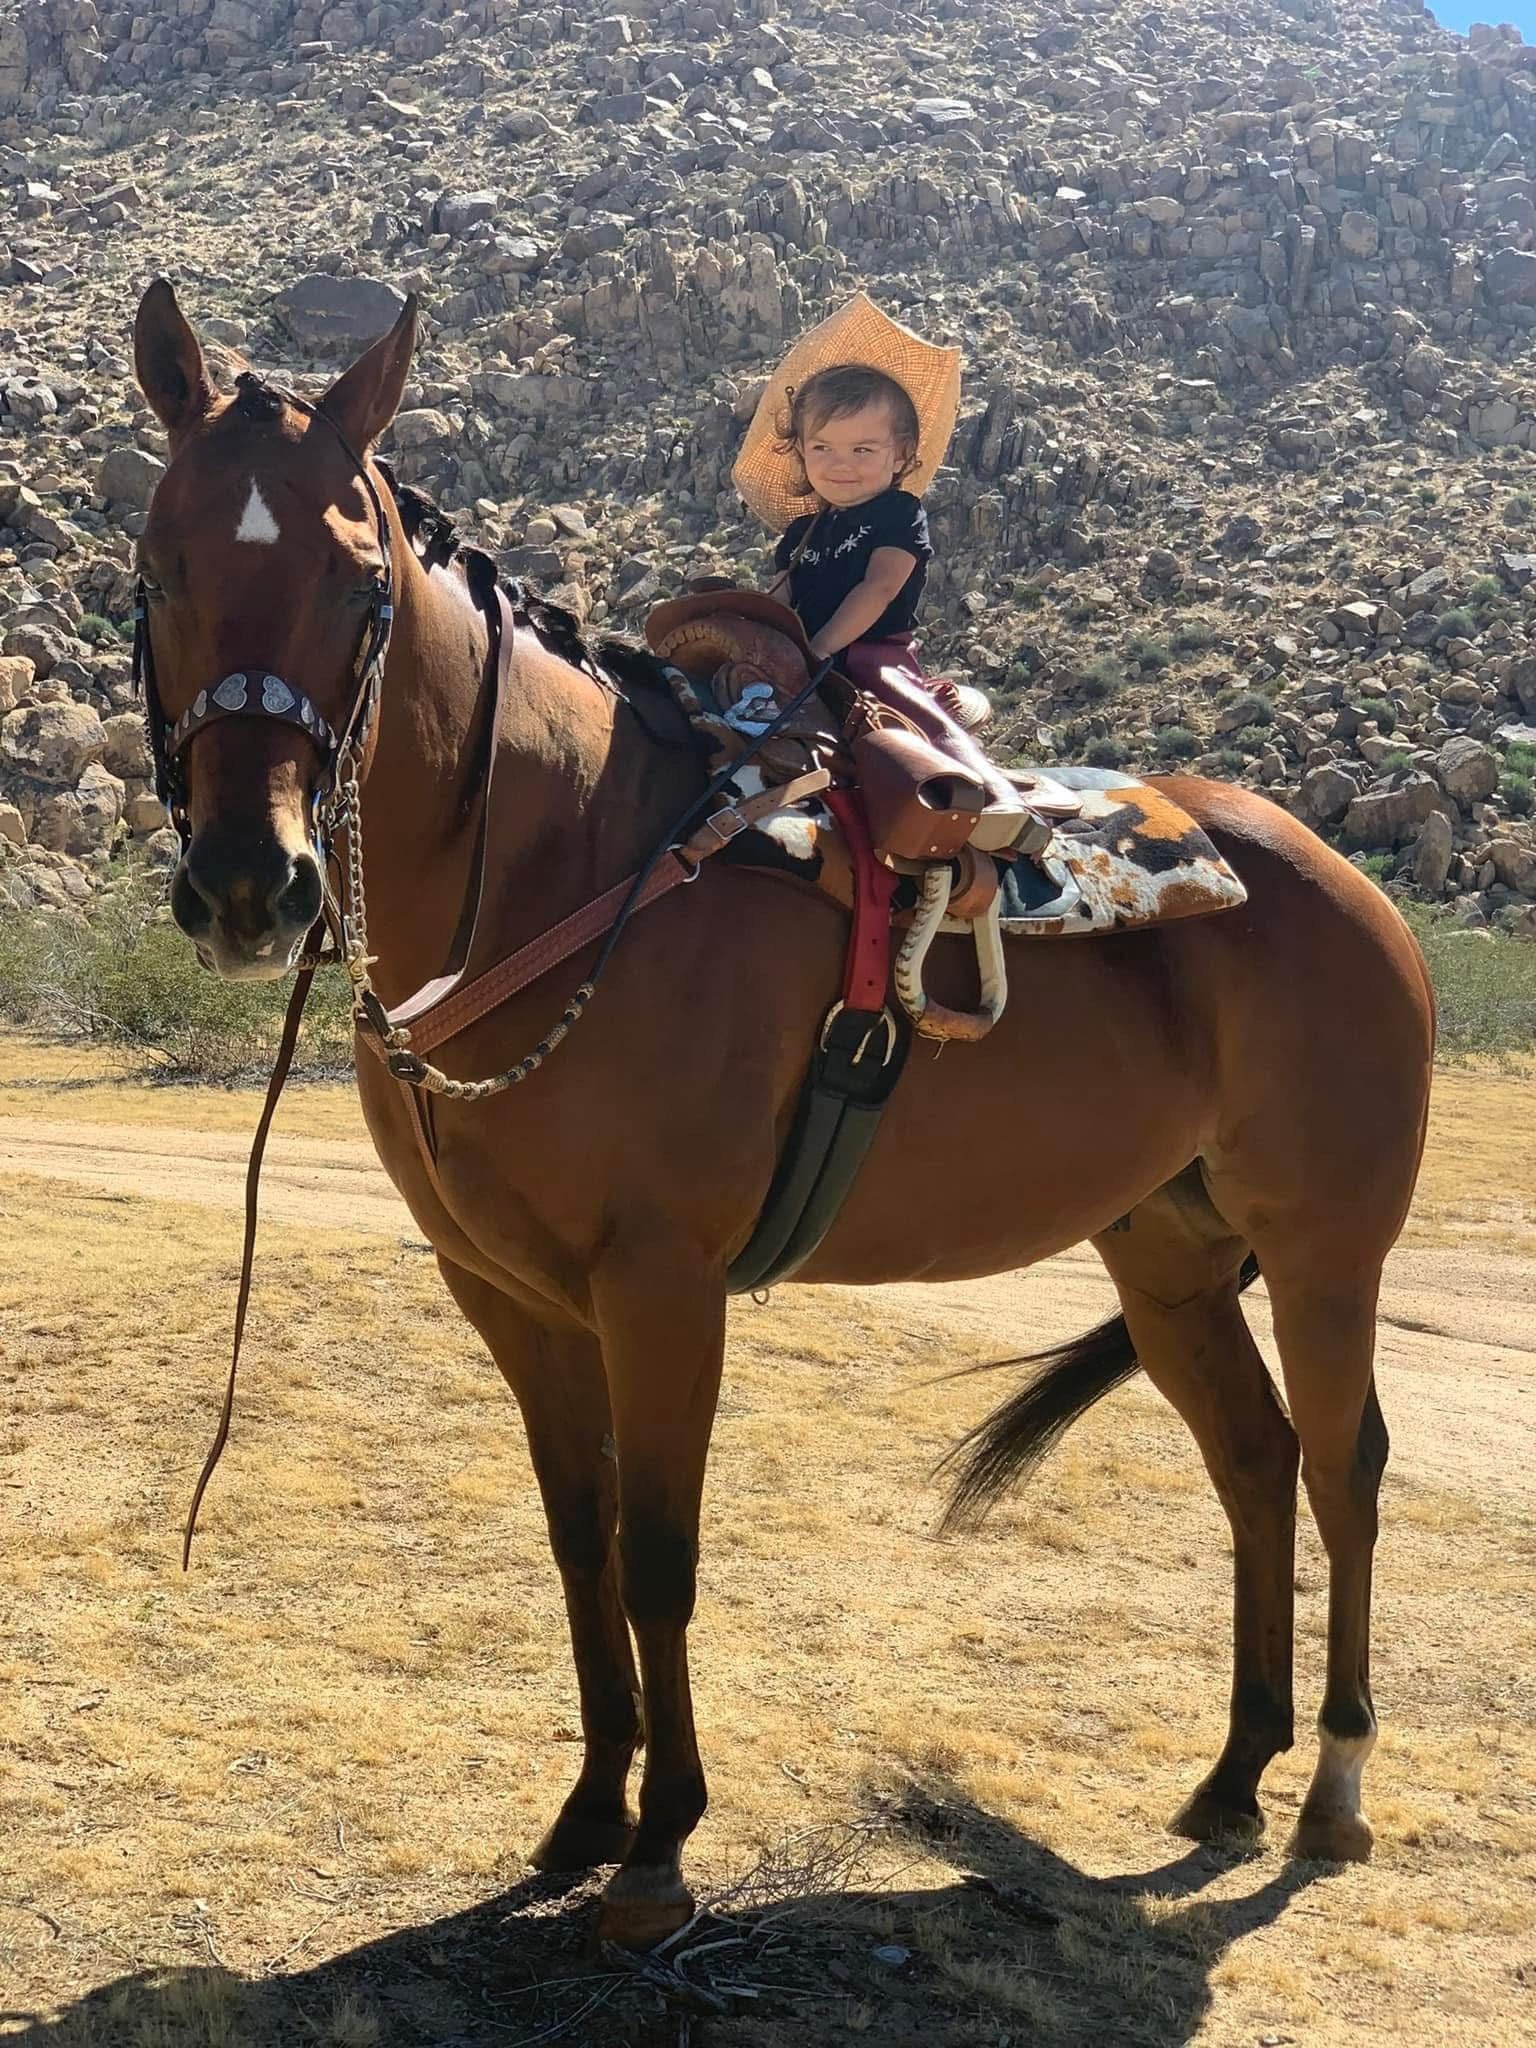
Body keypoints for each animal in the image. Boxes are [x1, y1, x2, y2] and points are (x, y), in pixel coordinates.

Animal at [130, 279, 1435, 1947]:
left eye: (362, 586)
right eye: (156, 567)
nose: (251, 884)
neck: (571, 862)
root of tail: (1346, 886)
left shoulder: (662, 1287)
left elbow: (661, 1557)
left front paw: (660, 1849)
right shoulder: (507, 1293)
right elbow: (578, 1539)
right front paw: (584, 1811)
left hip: (1328, 1250)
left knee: (1345, 1465)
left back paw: (1333, 1790)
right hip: (1168, 1258)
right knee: (1257, 1463)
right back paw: (1232, 1775)